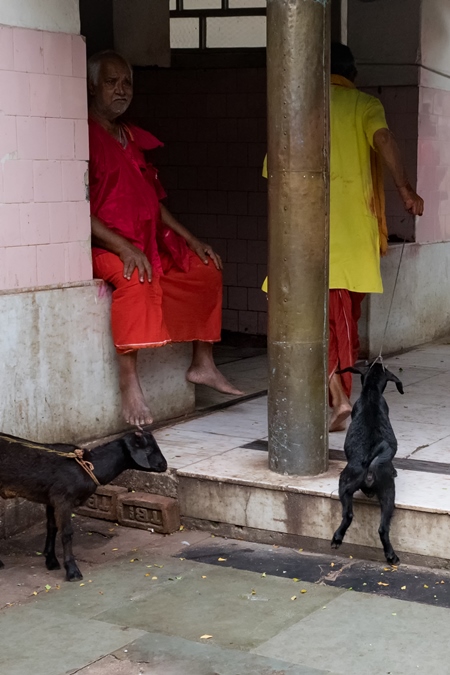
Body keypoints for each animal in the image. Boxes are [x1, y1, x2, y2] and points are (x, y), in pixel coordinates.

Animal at [0, 434, 167, 580]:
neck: (88, 466)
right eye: (148, 449)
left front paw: (51, 561)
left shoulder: (51, 498)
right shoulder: (63, 499)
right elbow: (66, 533)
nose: (164, 465)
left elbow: (52, 527)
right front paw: (72, 571)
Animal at [330, 364, 404, 564]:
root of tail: (370, 465)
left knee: (348, 515)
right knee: (383, 528)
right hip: (388, 494)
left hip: (345, 483)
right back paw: (391, 555)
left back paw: (337, 538)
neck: (371, 391)